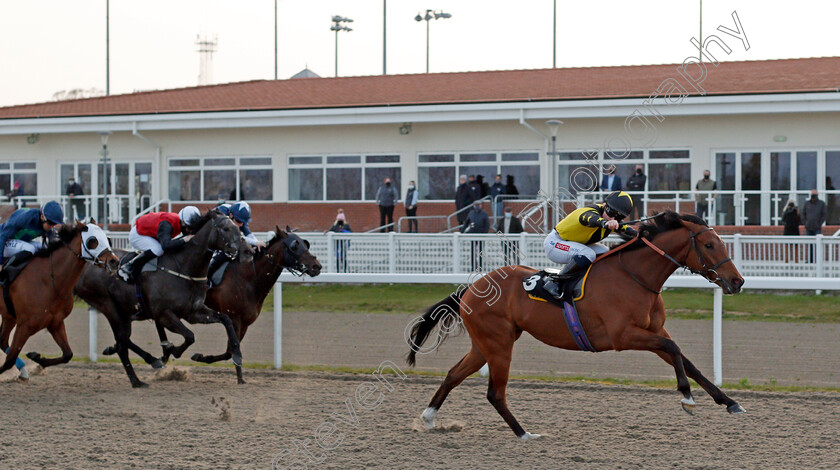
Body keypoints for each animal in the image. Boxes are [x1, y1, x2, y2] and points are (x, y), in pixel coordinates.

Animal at [0, 223, 120, 374]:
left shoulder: (55, 323)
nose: (114, 261)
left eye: (108, 239)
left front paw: (38, 358)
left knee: (3, 341)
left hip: (9, 316)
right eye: (92, 240)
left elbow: (67, 354)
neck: (49, 281)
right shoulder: (24, 325)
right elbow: (9, 360)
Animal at [76, 211, 249, 388]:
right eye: (226, 228)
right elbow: (190, 336)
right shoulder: (164, 314)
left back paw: (135, 368)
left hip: (124, 313)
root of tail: (88, 267)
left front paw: (237, 356)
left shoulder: (194, 312)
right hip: (110, 308)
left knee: (122, 341)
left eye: (237, 227)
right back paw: (143, 372)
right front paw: (173, 350)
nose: (246, 250)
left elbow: (226, 320)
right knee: (122, 341)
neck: (184, 267)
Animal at [408, 213, 748, 440]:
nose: (737, 281)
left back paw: (429, 418)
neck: (635, 276)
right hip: (499, 344)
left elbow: (687, 360)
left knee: (454, 375)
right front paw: (687, 397)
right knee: (495, 393)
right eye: (709, 244)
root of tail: (471, 288)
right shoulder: (624, 336)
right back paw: (525, 434)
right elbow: (675, 349)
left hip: (486, 344)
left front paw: (729, 402)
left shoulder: (654, 331)